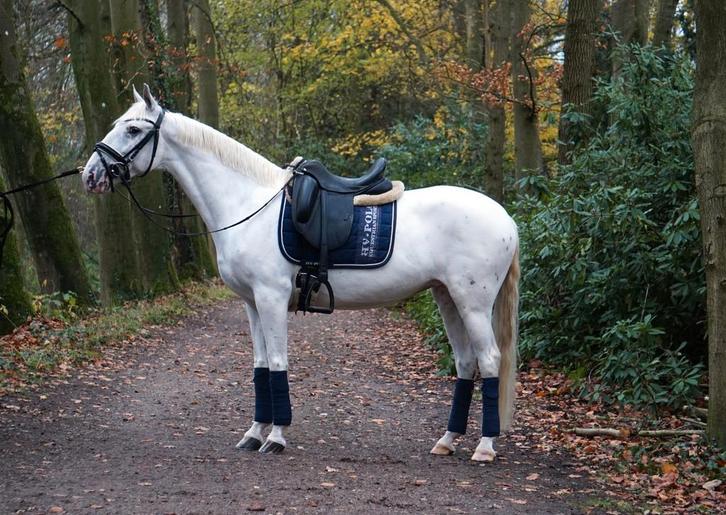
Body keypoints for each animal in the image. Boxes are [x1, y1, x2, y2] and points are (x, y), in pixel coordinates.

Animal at [81, 85, 519, 462]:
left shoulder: (271, 297)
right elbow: (260, 365)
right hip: (446, 297)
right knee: (465, 361)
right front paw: (254, 432)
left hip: (472, 303)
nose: (90, 174)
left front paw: (275, 437)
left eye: (133, 129)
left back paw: (485, 446)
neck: (247, 203)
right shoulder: (251, 303)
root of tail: (507, 220)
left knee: (489, 359)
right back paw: (447, 440)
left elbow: (277, 361)